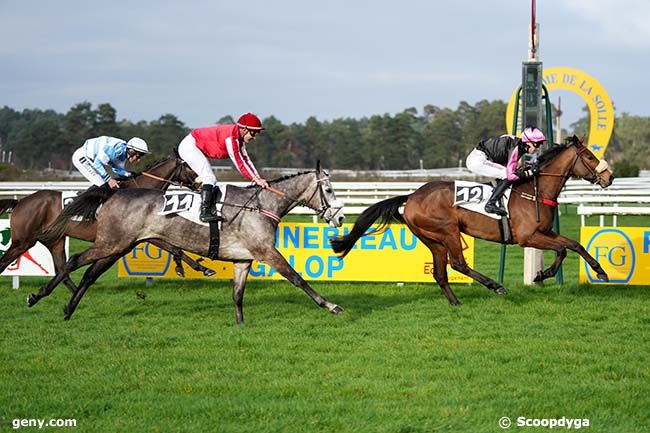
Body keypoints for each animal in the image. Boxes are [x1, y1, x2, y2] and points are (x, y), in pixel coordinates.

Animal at [0, 150, 214, 288]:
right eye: (189, 166)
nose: (200, 183)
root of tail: (20, 202)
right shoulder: (142, 233)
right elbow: (174, 247)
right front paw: (198, 267)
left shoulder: (146, 233)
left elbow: (174, 248)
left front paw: (195, 267)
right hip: (23, 241)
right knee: (4, 262)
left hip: (55, 241)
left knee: (62, 269)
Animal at [27, 164, 344, 322]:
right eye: (328, 190)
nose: (340, 217)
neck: (262, 205)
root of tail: (114, 193)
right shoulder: (266, 251)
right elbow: (297, 278)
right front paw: (330, 305)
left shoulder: (243, 259)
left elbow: (237, 295)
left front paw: (240, 324)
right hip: (111, 244)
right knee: (73, 261)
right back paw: (38, 296)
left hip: (120, 245)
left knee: (90, 274)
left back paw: (68, 309)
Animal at [332, 135, 612, 304]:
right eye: (589, 156)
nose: (609, 177)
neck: (535, 191)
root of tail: (412, 196)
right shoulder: (528, 237)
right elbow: (562, 250)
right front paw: (541, 274)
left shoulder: (545, 232)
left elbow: (574, 244)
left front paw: (600, 271)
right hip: (448, 231)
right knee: (458, 264)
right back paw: (495, 286)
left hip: (432, 239)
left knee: (440, 272)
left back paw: (455, 302)